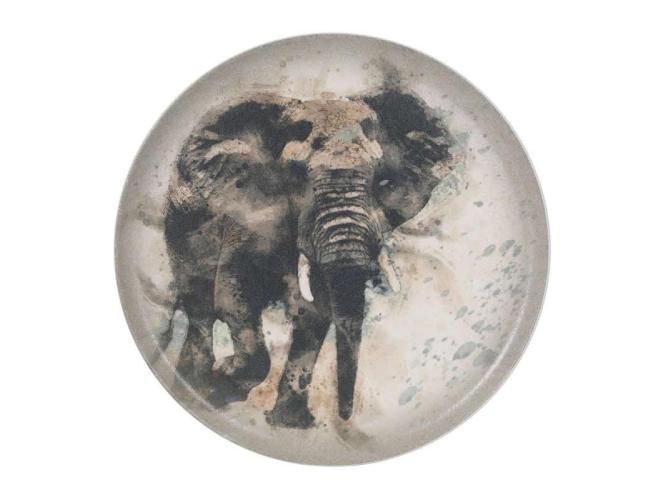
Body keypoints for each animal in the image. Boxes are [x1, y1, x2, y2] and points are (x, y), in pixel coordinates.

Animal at [162, 88, 454, 428]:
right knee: (200, 309)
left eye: (380, 180)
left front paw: (290, 424)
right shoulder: (246, 216)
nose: (344, 417)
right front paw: (225, 374)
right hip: (180, 228)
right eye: (297, 177)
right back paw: (200, 387)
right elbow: (232, 296)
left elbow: (315, 314)